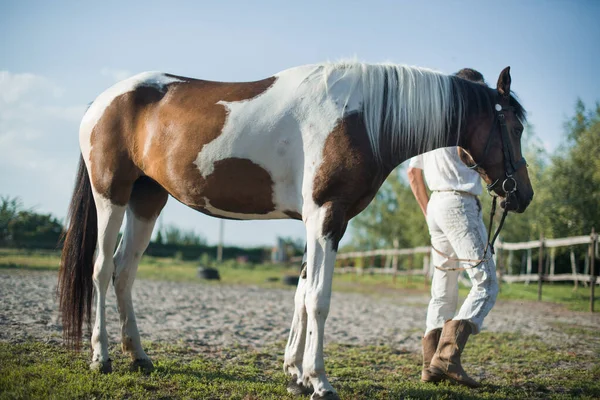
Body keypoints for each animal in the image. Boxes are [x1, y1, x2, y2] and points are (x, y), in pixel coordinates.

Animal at [58, 61, 532, 398]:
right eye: (515, 126)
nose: (522, 194)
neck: (360, 117)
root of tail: (102, 101)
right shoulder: (327, 217)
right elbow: (319, 300)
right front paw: (319, 381)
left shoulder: (317, 223)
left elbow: (302, 294)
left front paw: (294, 375)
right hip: (111, 196)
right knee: (102, 269)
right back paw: (101, 357)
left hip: (147, 200)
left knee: (124, 272)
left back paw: (138, 356)